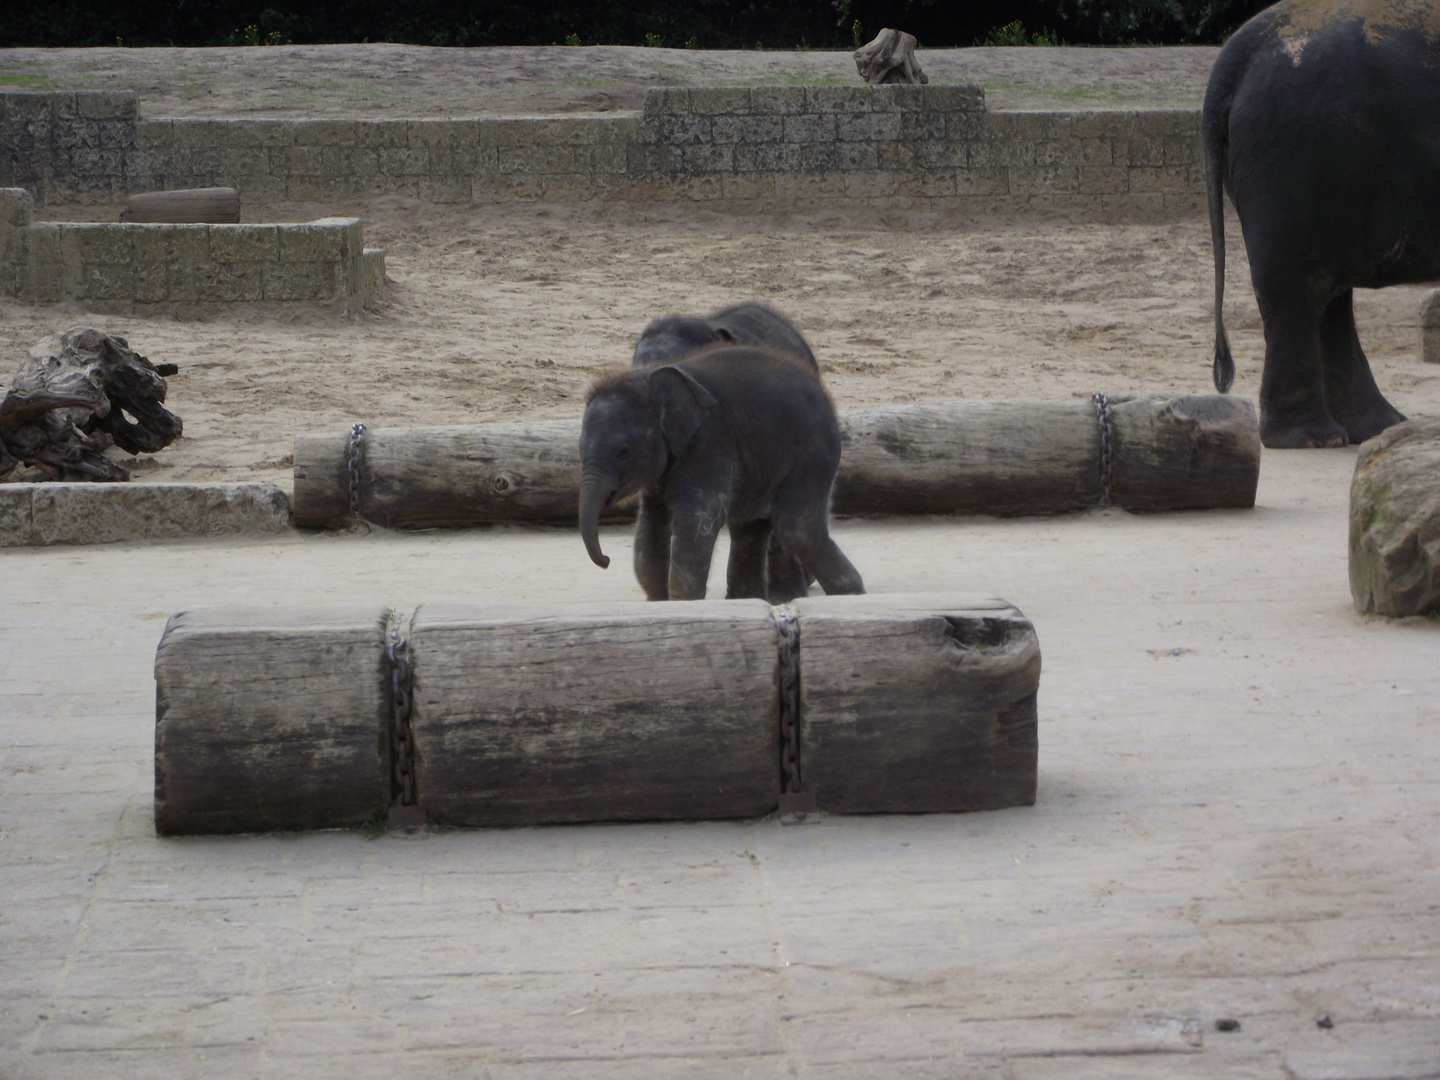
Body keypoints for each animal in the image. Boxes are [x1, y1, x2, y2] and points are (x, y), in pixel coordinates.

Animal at [576, 344, 864, 601]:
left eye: (623, 452)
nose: (606, 560)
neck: (650, 378)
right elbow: (651, 522)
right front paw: (659, 601)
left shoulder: (708, 441)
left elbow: (700, 515)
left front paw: (682, 602)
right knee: (749, 528)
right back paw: (747, 599)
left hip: (812, 457)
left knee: (796, 528)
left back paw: (850, 593)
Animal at [1203, 0, 1440, 446]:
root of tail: (1243, 45)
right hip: (1299, 155)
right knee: (1300, 289)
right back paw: (1314, 438)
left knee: (1328, 296)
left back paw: (1376, 427)